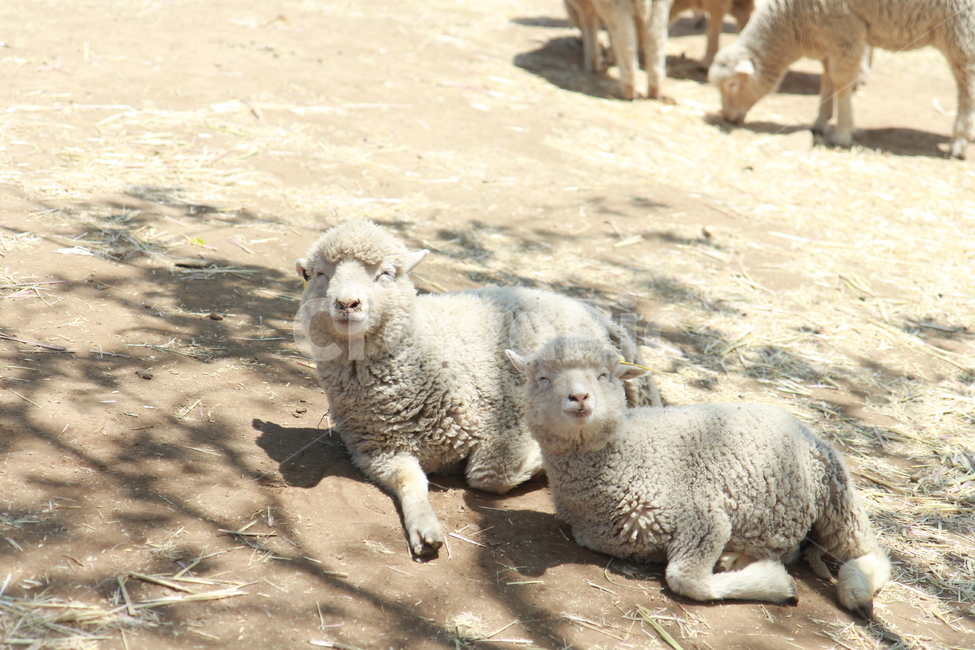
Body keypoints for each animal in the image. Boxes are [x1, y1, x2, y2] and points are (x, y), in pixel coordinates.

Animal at [294, 220, 662, 557]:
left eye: (386, 273)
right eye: (318, 274)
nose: (347, 304)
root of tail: (587, 308)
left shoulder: (505, 428)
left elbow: (487, 475)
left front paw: (539, 460)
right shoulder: (377, 452)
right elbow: (409, 480)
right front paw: (424, 527)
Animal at [506, 336, 890, 615]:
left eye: (604, 375)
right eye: (542, 379)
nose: (579, 397)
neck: (631, 453)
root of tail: (798, 422)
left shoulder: (703, 517)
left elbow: (685, 580)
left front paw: (777, 585)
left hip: (835, 490)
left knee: (868, 552)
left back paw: (855, 591)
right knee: (794, 549)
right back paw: (739, 557)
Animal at [707, 0, 975, 158]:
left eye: (732, 84)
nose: (727, 118)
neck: (790, 25)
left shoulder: (845, 29)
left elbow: (841, 82)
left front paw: (842, 133)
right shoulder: (828, 36)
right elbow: (827, 80)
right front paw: (820, 121)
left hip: (962, 25)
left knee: (967, 82)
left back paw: (959, 142)